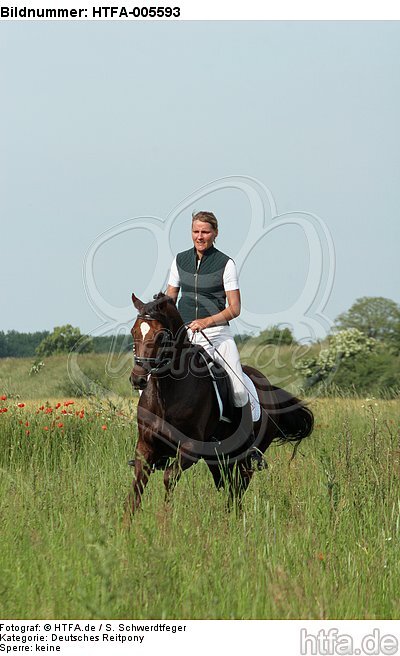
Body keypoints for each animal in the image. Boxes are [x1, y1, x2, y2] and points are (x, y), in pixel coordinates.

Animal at [125, 292, 313, 519]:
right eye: (134, 331)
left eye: (161, 335)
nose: (138, 379)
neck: (167, 394)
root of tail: (268, 388)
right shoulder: (145, 447)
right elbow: (137, 485)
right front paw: (128, 523)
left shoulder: (190, 448)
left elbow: (169, 478)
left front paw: (165, 518)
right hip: (217, 458)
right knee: (226, 484)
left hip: (245, 456)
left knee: (239, 486)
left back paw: (235, 520)